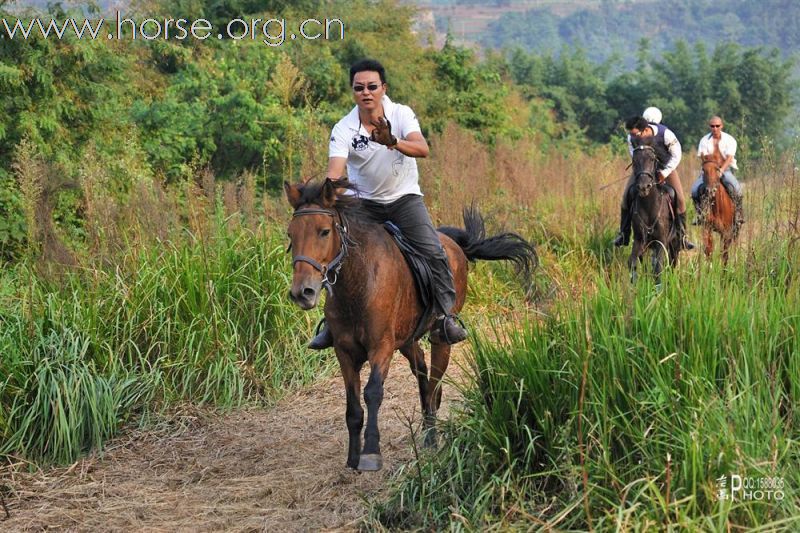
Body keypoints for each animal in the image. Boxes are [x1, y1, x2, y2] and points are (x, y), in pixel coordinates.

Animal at [284, 179, 536, 470]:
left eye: (324, 232)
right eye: (290, 235)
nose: (302, 292)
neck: (357, 283)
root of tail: (451, 242)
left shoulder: (381, 347)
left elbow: (373, 393)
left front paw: (371, 453)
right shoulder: (344, 351)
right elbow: (353, 406)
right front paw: (353, 458)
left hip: (439, 337)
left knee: (434, 378)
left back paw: (432, 436)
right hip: (407, 340)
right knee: (422, 373)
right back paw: (428, 425)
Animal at [632, 137, 680, 284]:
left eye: (652, 159)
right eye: (634, 160)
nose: (643, 186)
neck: (649, 206)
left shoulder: (661, 241)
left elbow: (658, 269)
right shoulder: (639, 240)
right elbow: (633, 263)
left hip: (673, 244)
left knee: (672, 264)